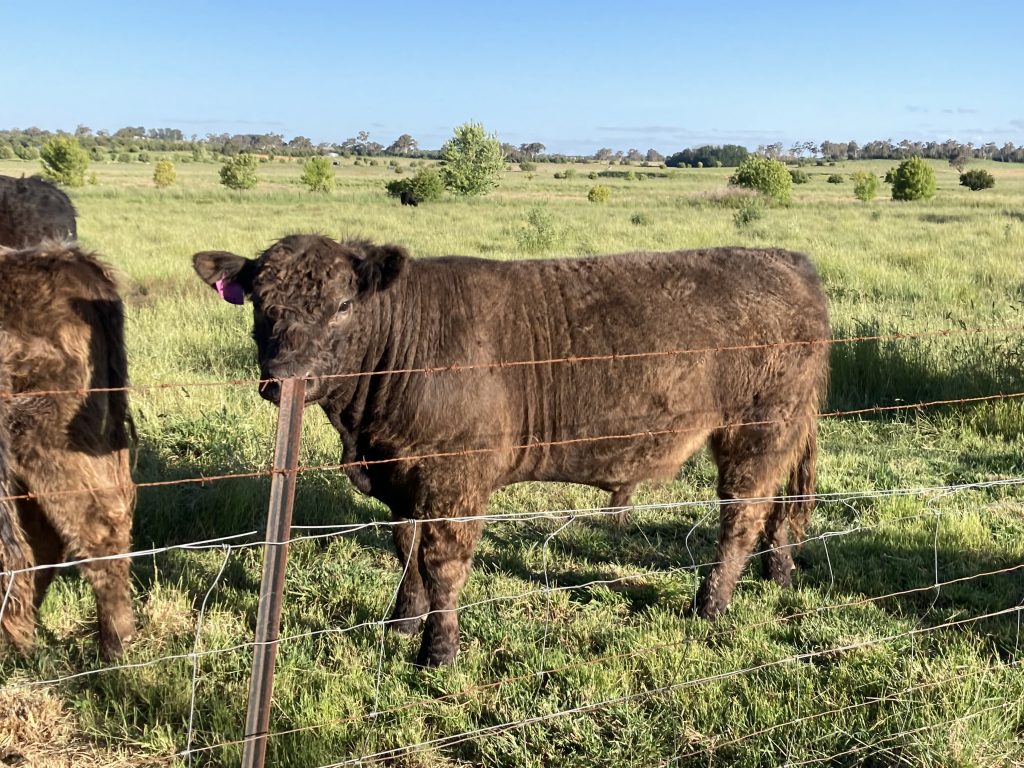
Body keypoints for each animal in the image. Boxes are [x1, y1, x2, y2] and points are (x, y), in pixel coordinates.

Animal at [193, 235, 830, 667]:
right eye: (259, 301)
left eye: (344, 305)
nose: (284, 378)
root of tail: (787, 259)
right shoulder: (404, 478)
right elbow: (406, 549)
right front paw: (402, 623)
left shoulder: (455, 479)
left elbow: (442, 563)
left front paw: (438, 652)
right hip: (781, 433)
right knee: (777, 508)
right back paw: (777, 574)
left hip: (756, 430)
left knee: (742, 514)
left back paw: (710, 604)